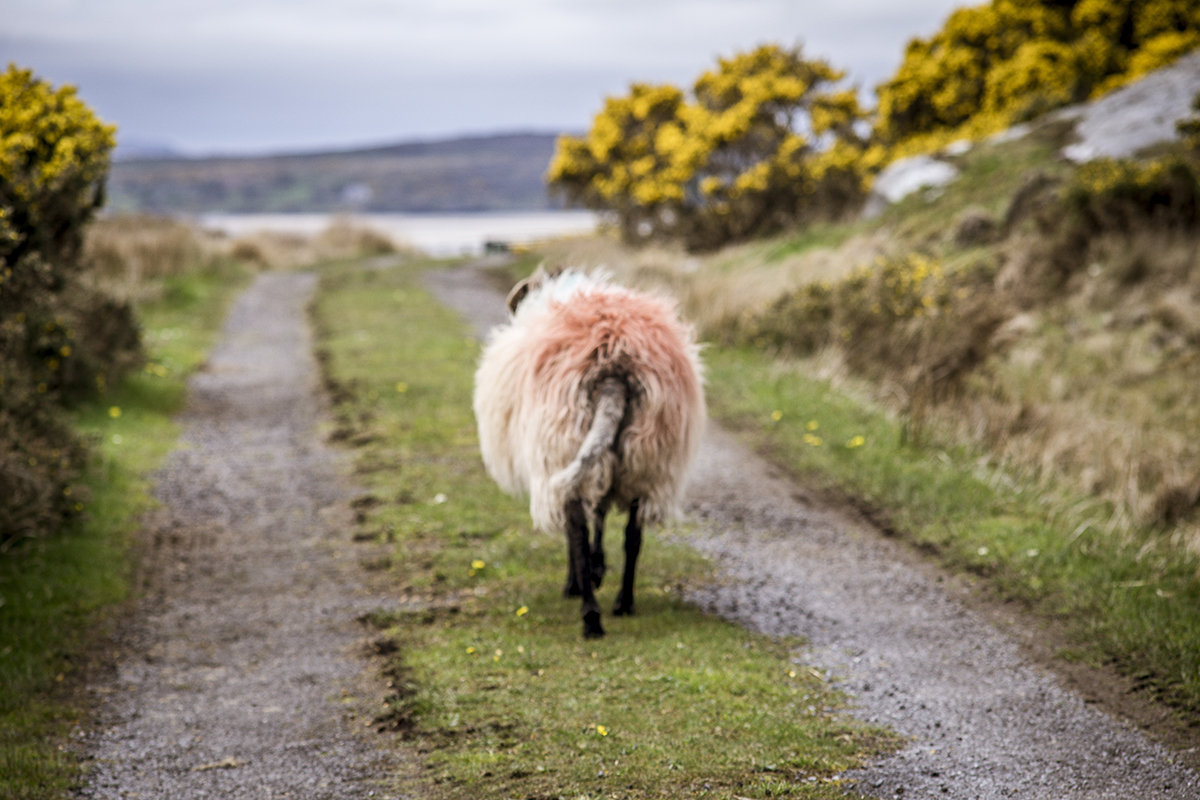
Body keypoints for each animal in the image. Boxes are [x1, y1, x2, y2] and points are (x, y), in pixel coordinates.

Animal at [472, 268, 705, 638]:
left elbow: (581, 527)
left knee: (576, 530)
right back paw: (623, 603)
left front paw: (582, 580)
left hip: (563, 444)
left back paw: (590, 614)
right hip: (646, 457)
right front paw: (598, 569)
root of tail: (614, 369)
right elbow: (602, 514)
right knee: (633, 535)